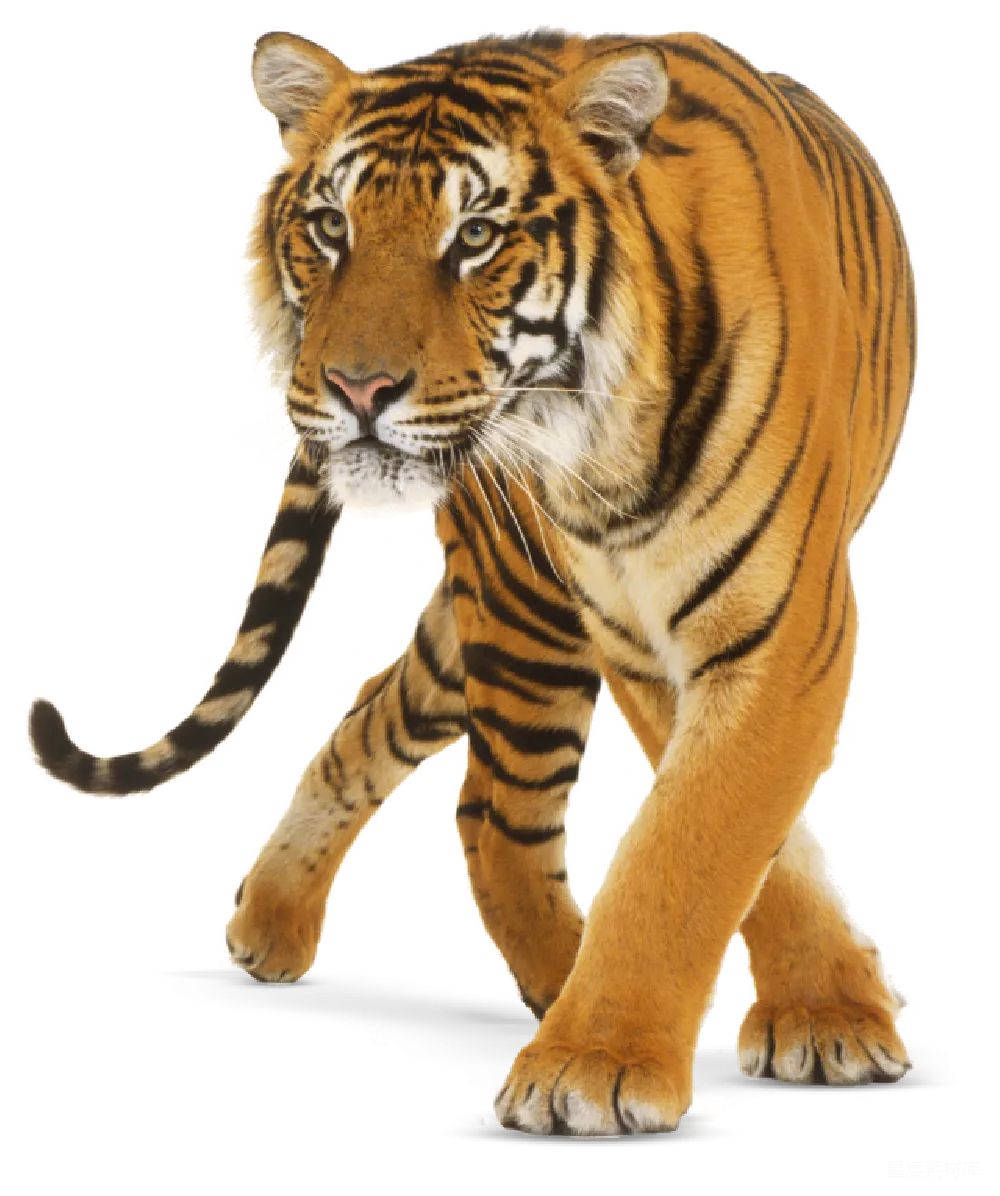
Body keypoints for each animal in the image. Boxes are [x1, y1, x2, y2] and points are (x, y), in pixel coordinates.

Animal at [25, 27, 919, 1136]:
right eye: (331, 226)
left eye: (479, 236)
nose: (356, 387)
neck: (604, 451)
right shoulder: (634, 635)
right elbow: (712, 836)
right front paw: (603, 1060)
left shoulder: (780, 627)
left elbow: (702, 833)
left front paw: (798, 1019)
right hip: (522, 607)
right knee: (493, 814)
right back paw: (543, 988)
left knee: (373, 716)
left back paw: (273, 925)